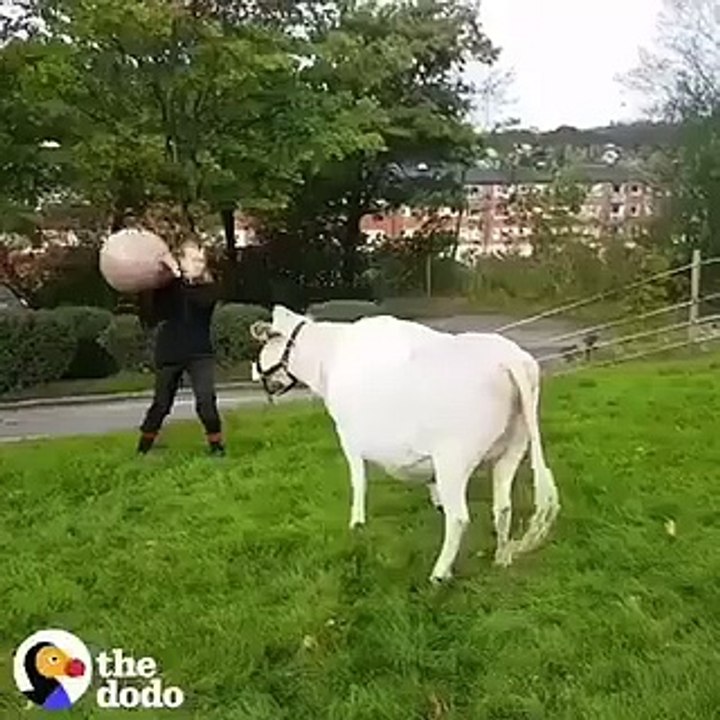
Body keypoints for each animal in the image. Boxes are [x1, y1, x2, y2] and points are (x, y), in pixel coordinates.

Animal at [250, 305, 559, 582]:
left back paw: (439, 573)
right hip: (514, 447)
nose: (255, 372)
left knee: (459, 518)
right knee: (503, 507)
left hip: (454, 458)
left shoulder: (348, 435)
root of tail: (509, 358)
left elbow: (358, 480)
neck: (329, 357)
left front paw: (356, 523)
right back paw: (502, 557)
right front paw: (435, 500)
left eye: (265, 341)